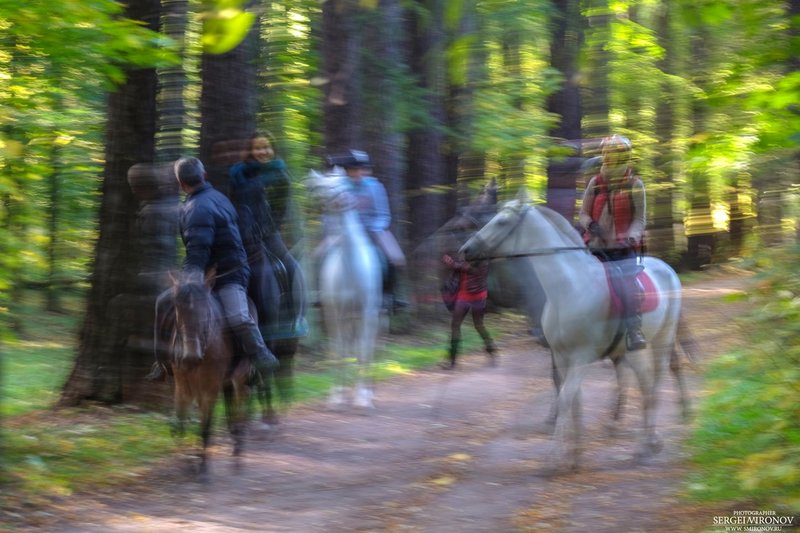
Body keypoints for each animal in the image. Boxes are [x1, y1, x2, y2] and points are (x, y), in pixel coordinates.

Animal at [164, 272, 248, 472]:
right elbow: (180, 421)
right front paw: (183, 458)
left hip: (240, 376)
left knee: (241, 406)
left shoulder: (209, 389)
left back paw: (238, 449)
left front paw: (202, 467)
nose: (191, 356)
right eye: (177, 309)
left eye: (206, 310)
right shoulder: (182, 387)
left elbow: (206, 425)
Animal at [304, 169, 382, 408]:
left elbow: (364, 350)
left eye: (341, 184)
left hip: (366, 317)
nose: (343, 199)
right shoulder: (336, 313)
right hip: (342, 317)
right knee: (345, 346)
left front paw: (363, 397)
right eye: (323, 186)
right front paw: (337, 395)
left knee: (364, 346)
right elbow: (339, 350)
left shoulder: (366, 313)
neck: (351, 268)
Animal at [460, 196, 692, 470]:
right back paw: (645, 443)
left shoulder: (582, 356)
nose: (465, 250)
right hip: (631, 350)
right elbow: (572, 400)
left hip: (662, 340)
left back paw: (653, 440)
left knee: (657, 381)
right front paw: (575, 455)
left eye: (502, 221)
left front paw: (554, 457)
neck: (567, 288)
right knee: (644, 383)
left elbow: (565, 399)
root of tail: (667, 268)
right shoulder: (562, 356)